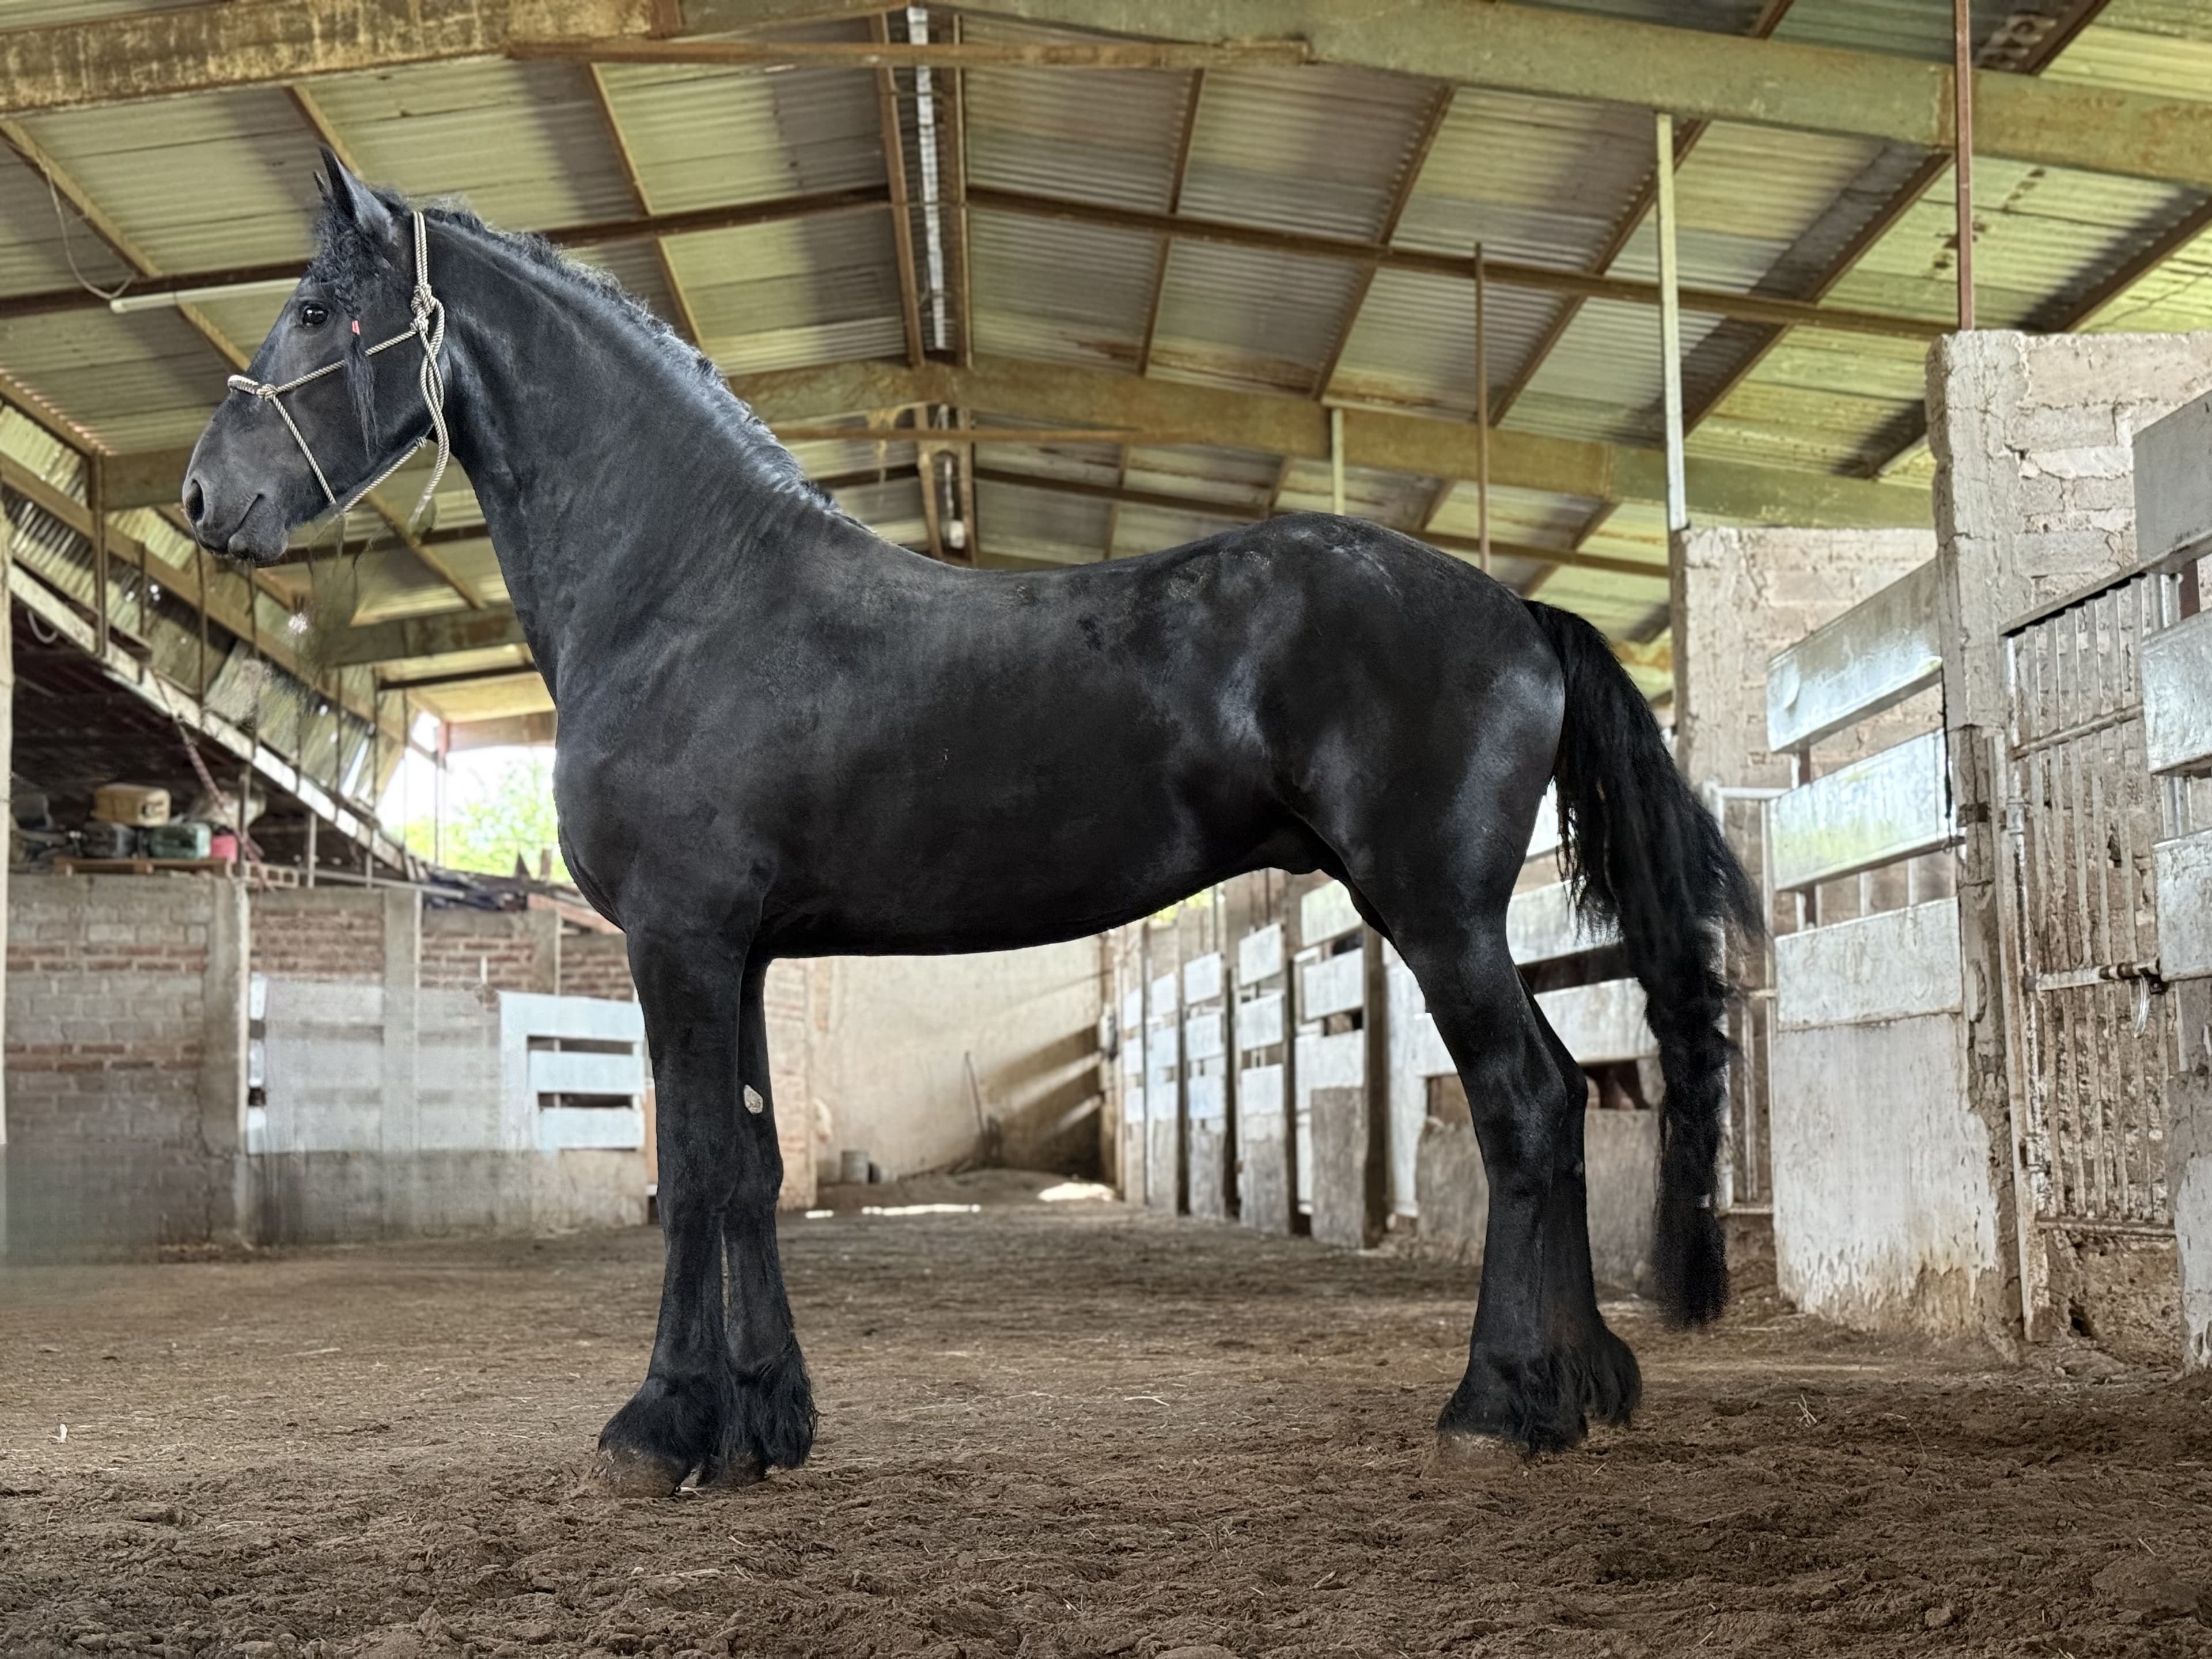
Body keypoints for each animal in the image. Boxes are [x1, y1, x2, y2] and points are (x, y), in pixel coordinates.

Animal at [183, 151, 1757, 1494]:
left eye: (315, 308)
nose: (205, 497)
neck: (685, 589)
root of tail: (1520, 615)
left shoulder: (676, 941)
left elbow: (691, 1170)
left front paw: (660, 1426)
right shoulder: (740, 953)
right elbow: (752, 1167)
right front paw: (763, 1424)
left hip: (1435, 917)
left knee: (1526, 1105)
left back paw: (1501, 1402)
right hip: (1456, 922)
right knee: (1558, 1102)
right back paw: (1583, 1384)